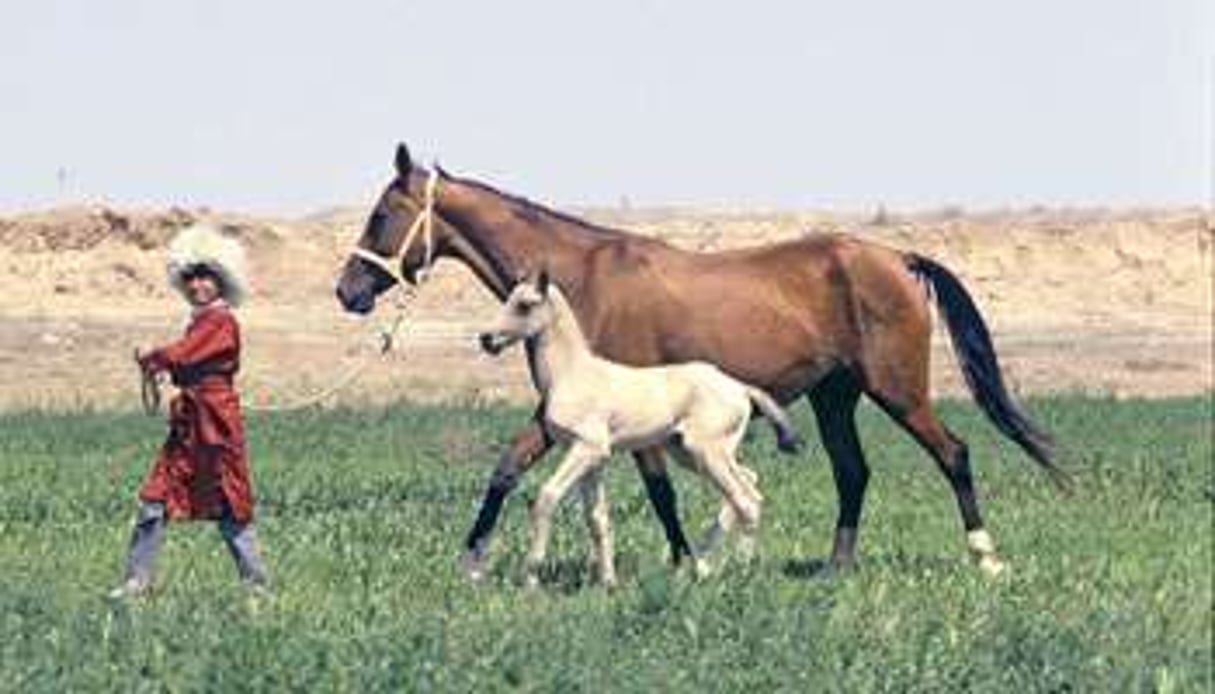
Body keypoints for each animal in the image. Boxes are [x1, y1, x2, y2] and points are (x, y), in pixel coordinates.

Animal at [478, 274, 801, 588]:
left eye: (524, 305)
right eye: (507, 299)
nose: (486, 339)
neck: (571, 373)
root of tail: (740, 387)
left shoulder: (587, 449)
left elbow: (547, 497)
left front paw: (531, 578)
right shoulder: (592, 459)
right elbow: (597, 519)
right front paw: (608, 583)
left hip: (708, 453)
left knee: (746, 501)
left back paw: (738, 570)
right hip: (690, 454)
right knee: (750, 485)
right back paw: (702, 566)